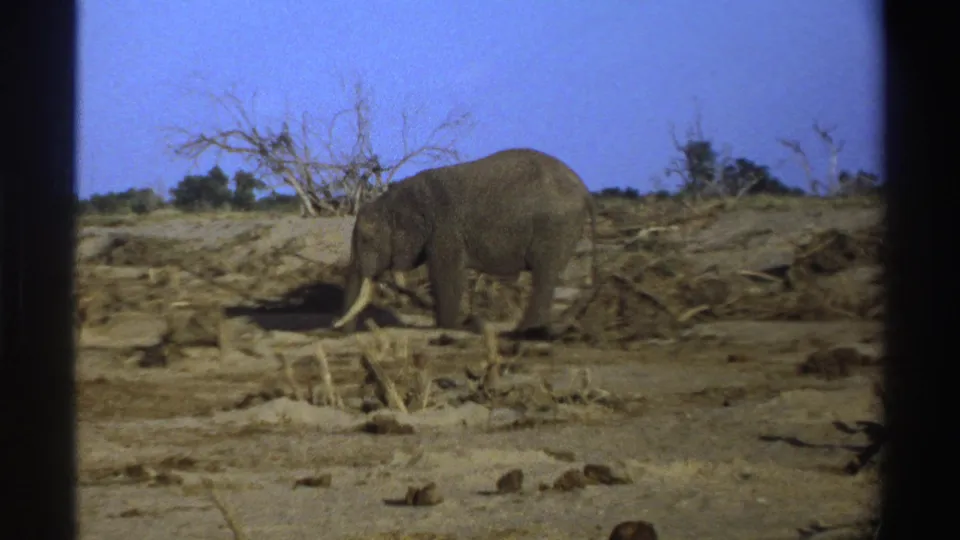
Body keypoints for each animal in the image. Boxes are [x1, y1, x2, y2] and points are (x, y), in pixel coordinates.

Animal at [333, 147, 599, 339]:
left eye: (367, 240)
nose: (337, 331)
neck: (395, 197)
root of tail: (586, 192)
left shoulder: (445, 229)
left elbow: (446, 274)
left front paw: (447, 326)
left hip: (555, 226)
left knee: (545, 274)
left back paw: (526, 332)